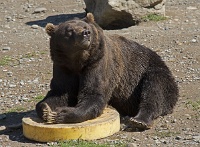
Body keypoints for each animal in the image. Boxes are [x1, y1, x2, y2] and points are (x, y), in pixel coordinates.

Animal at [35, 12, 178, 130]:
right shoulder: (63, 66)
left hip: (150, 71)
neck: (79, 61)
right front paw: (46, 110)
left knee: (154, 91)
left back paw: (139, 120)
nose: (85, 33)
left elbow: (93, 94)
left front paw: (63, 113)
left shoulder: (98, 63)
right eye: (69, 30)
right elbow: (59, 93)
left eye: (85, 26)